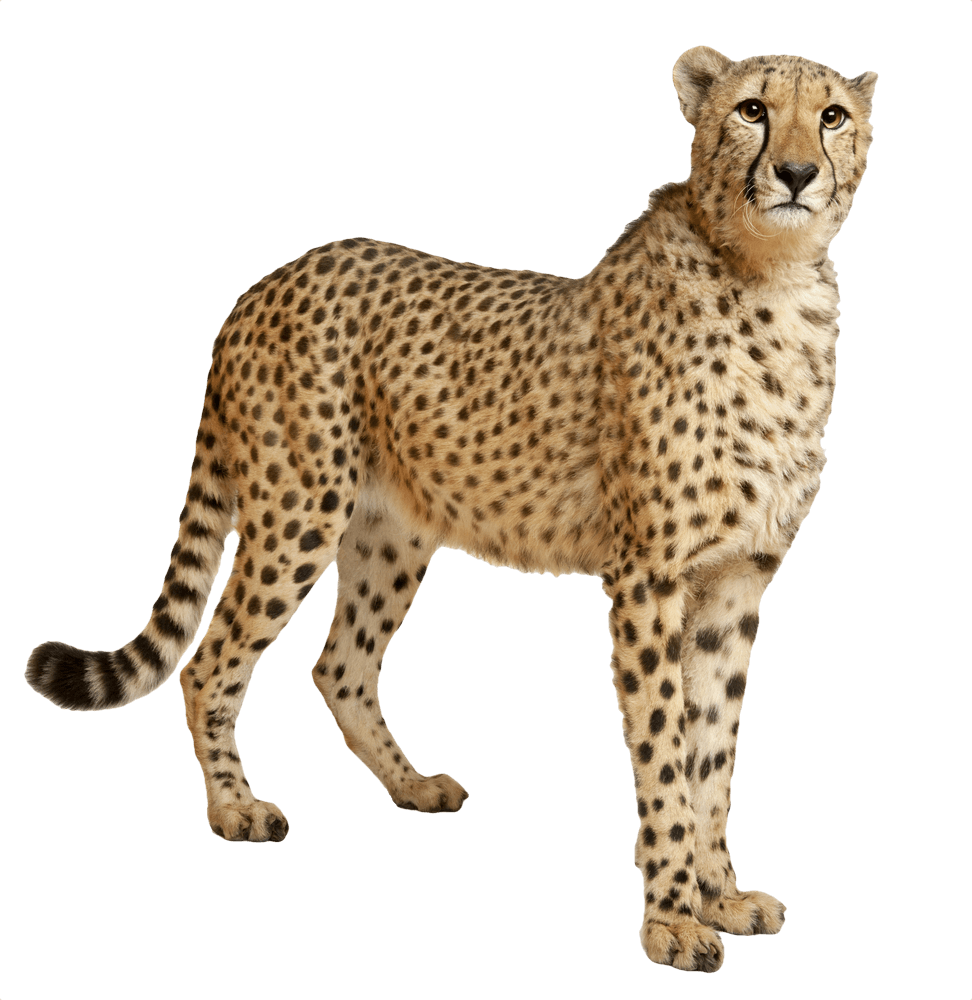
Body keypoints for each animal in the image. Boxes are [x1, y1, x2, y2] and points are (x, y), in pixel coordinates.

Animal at [26, 45, 876, 972]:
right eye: (753, 109)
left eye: (832, 116)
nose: (796, 173)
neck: (769, 278)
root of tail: (271, 277)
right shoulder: (648, 582)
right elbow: (662, 752)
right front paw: (674, 921)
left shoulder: (735, 584)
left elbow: (712, 751)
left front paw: (720, 895)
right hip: (297, 511)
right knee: (209, 661)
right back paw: (235, 810)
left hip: (390, 536)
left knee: (340, 665)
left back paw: (412, 786)